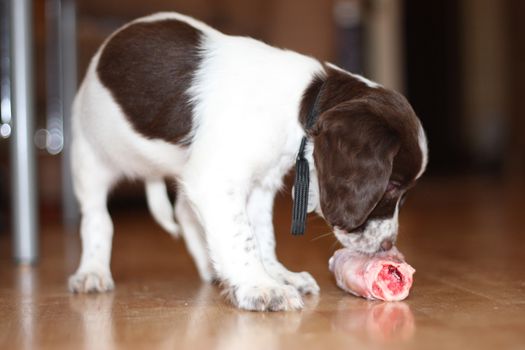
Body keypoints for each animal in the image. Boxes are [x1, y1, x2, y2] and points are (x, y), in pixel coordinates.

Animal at [68, 11, 426, 312]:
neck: (299, 104)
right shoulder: (216, 180)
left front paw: (276, 275)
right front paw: (261, 287)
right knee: (98, 218)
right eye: (392, 187)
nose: (388, 245)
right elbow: (242, 238)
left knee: (184, 210)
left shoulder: (259, 184)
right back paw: (92, 272)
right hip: (90, 156)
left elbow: (261, 235)